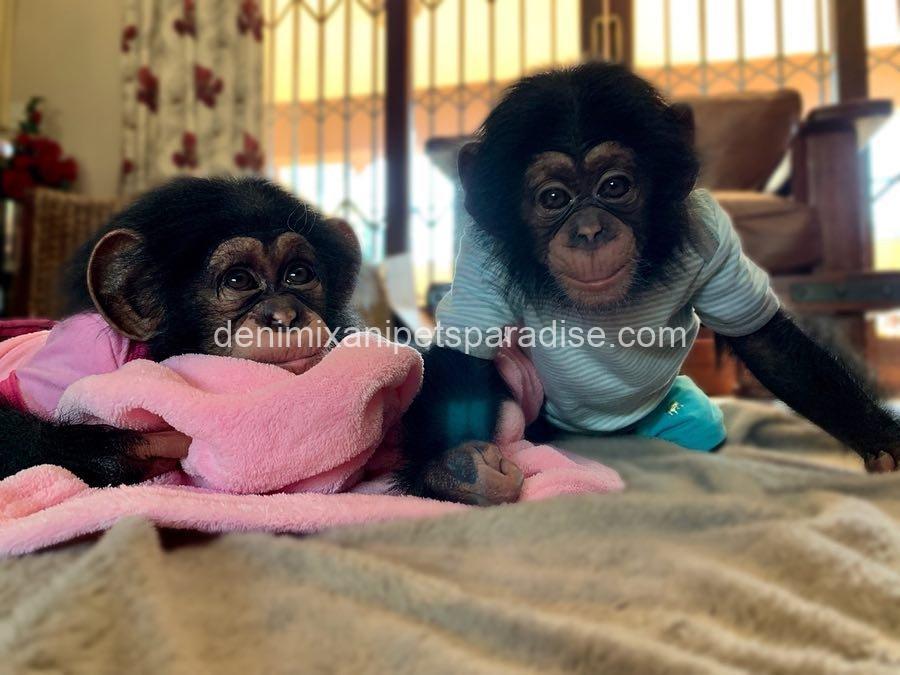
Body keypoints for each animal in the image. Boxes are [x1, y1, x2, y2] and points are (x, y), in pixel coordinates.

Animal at [397, 62, 900, 506]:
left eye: (614, 186)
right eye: (553, 197)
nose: (590, 230)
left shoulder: (714, 238)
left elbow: (765, 342)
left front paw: (885, 441)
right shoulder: (481, 257)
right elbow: (465, 357)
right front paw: (458, 469)